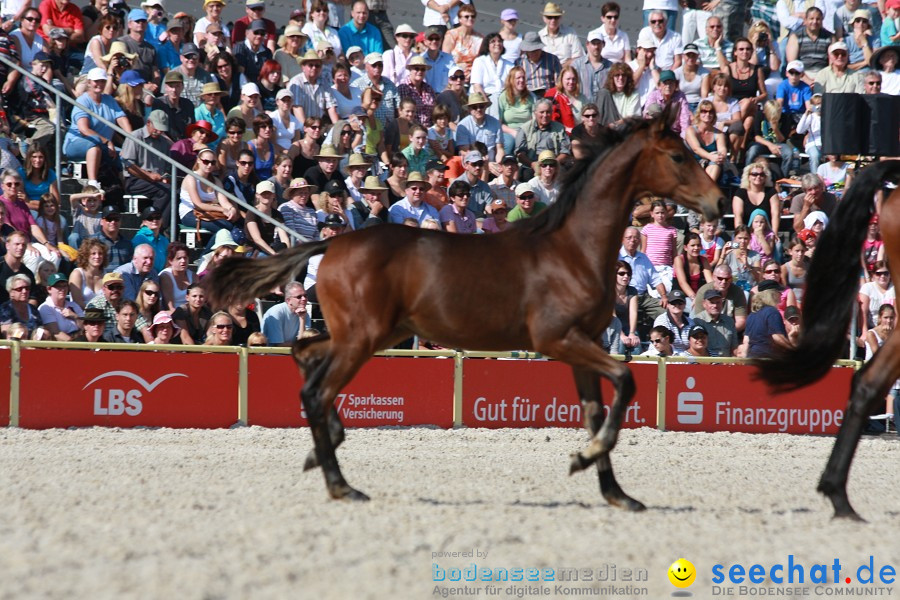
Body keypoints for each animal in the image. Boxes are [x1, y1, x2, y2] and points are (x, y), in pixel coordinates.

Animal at [206, 111, 724, 506]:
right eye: (678, 156)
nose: (719, 201)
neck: (572, 249)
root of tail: (331, 244)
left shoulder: (584, 347)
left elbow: (599, 412)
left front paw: (616, 493)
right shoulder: (559, 340)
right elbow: (626, 380)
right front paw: (583, 458)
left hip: (369, 333)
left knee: (304, 353)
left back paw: (323, 450)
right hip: (363, 338)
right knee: (316, 390)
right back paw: (341, 485)